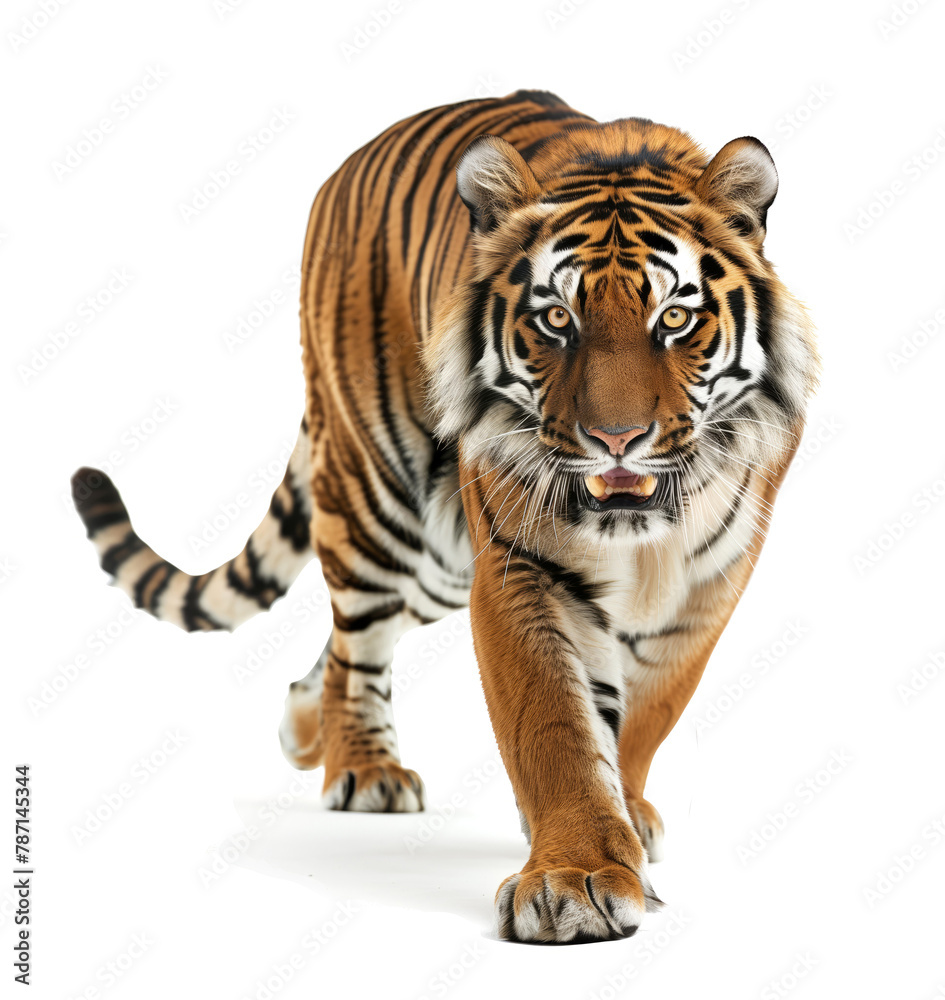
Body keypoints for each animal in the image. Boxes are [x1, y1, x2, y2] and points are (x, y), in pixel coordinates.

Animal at [72, 88, 819, 944]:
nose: (615, 440)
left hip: (441, 566)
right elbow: (554, 722)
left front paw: (623, 817)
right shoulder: (521, 565)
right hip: (390, 512)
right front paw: (574, 878)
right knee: (357, 640)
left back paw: (302, 725)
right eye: (556, 320)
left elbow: (644, 717)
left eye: (672, 320)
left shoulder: (707, 586)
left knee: (339, 647)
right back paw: (363, 768)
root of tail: (349, 162)